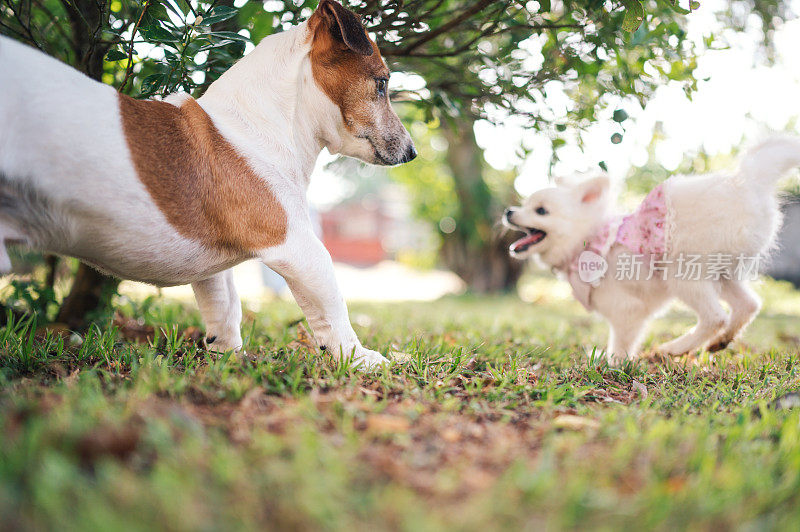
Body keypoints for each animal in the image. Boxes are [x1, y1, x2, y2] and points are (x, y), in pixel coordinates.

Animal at [1, 0, 418, 366]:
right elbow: (332, 305)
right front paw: (361, 358)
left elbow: (226, 306)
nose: (413, 152)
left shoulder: (216, 274)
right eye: (382, 84)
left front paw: (226, 355)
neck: (256, 125)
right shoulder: (298, 246)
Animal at [504, 137, 800, 364]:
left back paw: (676, 348)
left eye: (541, 211)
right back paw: (720, 341)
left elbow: (620, 345)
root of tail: (747, 183)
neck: (588, 238)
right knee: (748, 305)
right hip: (722, 272)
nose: (508, 211)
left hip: (682, 272)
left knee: (715, 317)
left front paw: (612, 366)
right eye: (524, 204)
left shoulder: (627, 310)